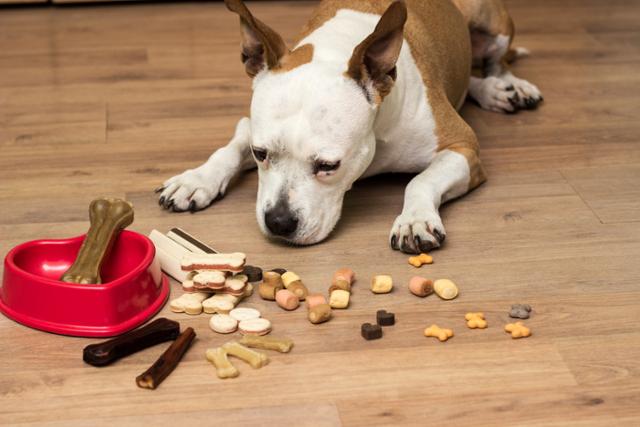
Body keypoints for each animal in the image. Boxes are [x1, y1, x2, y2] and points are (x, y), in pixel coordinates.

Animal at [155, 0, 540, 254]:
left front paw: (414, 219)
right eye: (260, 153)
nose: (279, 222)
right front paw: (197, 179)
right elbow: (230, 148)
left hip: (492, 22)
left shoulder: (462, 147)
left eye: (329, 165)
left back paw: (503, 87)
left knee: (496, 63)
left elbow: (421, 179)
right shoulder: (250, 125)